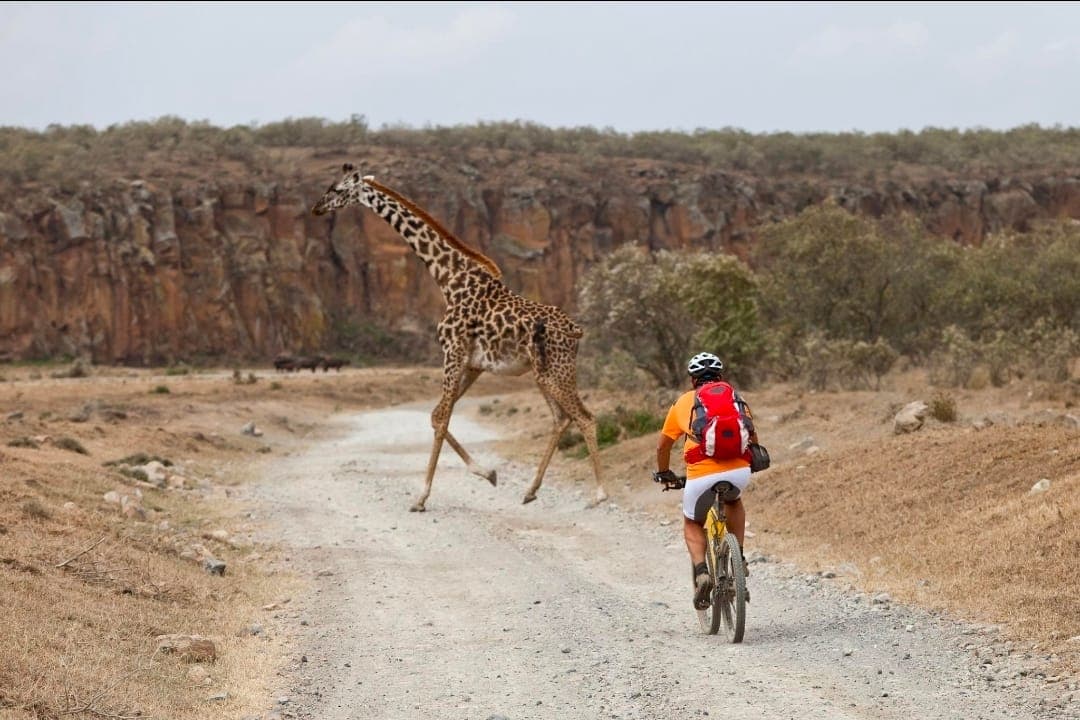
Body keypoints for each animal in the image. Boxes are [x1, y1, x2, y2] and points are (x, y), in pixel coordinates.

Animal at [311, 164, 609, 512]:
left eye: (336, 189)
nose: (316, 208)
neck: (448, 279)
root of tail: (576, 331)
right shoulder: (473, 364)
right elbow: (436, 415)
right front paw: (488, 473)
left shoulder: (452, 353)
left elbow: (441, 419)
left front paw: (421, 497)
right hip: (542, 374)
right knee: (561, 419)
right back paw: (531, 490)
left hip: (556, 371)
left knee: (585, 417)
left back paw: (599, 494)